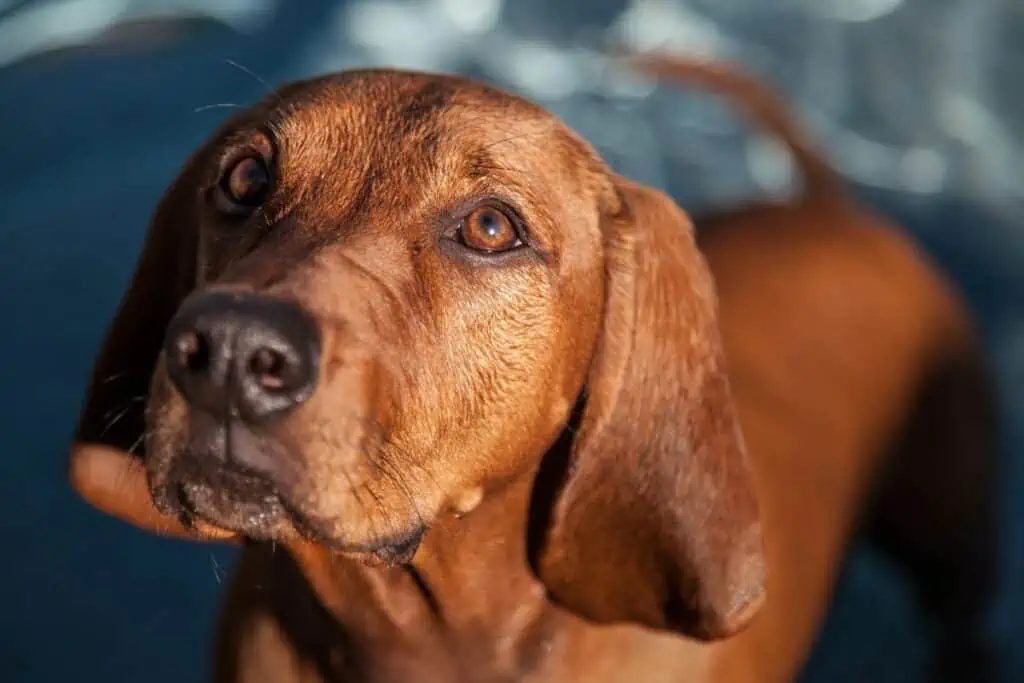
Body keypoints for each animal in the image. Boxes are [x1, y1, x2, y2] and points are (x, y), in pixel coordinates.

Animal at [68, 56, 995, 679]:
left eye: (490, 227)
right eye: (246, 177)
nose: (227, 351)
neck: (425, 635)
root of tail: (825, 205)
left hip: (950, 529)